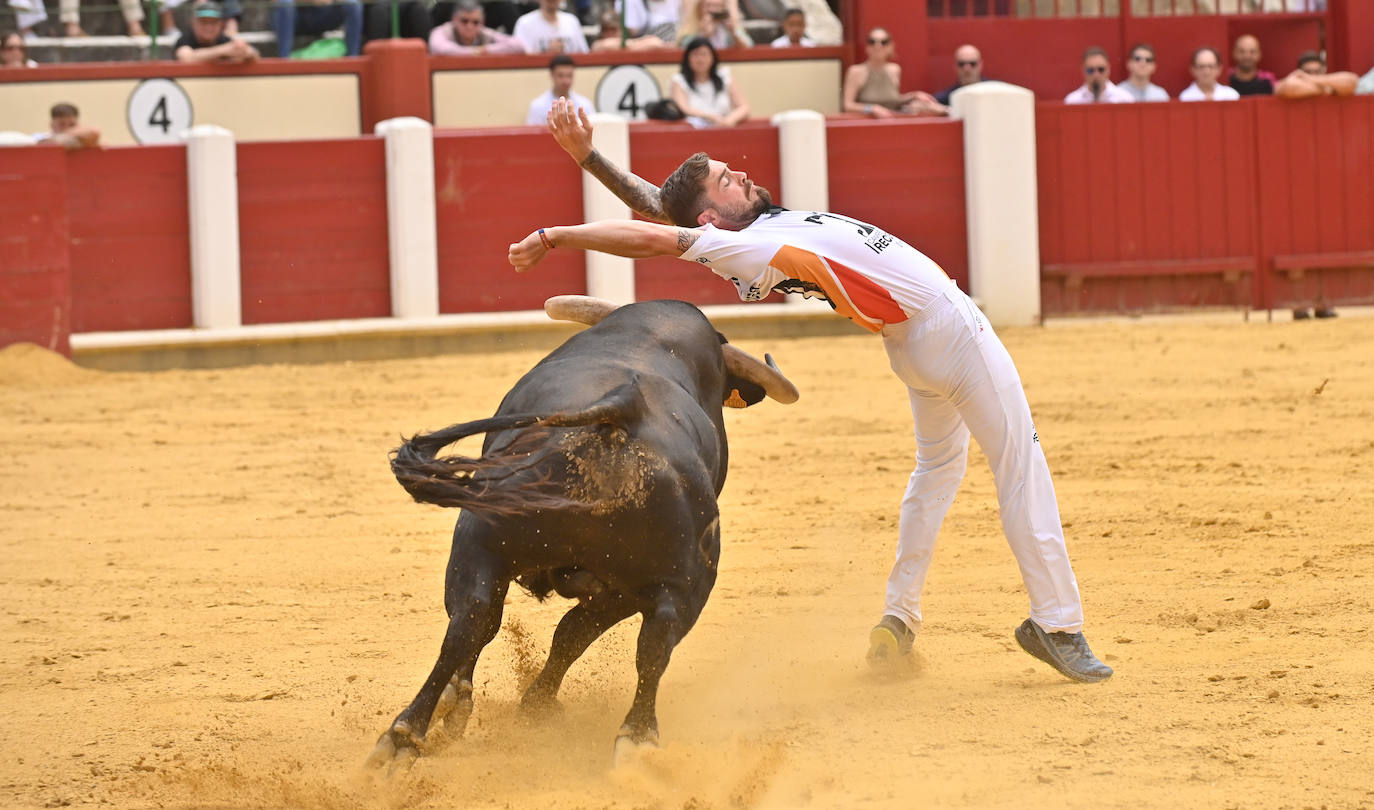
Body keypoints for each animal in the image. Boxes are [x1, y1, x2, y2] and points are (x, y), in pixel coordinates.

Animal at [365, 295, 802, 768]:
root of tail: (624, 412)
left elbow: (562, 633)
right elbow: (570, 634)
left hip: (488, 540)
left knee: (475, 618)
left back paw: (408, 736)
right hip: (661, 582)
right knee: (647, 641)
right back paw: (635, 738)